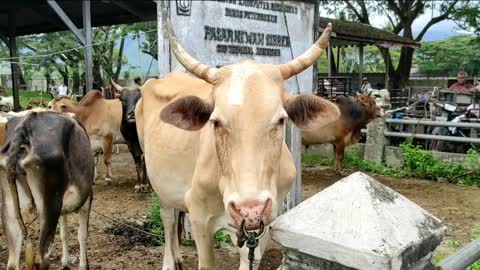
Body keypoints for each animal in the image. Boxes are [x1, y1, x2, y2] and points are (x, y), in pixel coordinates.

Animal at [0, 110, 94, 268]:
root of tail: (25, 125)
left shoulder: (63, 209)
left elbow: (64, 234)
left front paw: (65, 262)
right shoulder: (87, 199)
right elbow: (82, 235)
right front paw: (83, 266)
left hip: (9, 206)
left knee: (12, 263)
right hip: (50, 206)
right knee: (41, 258)